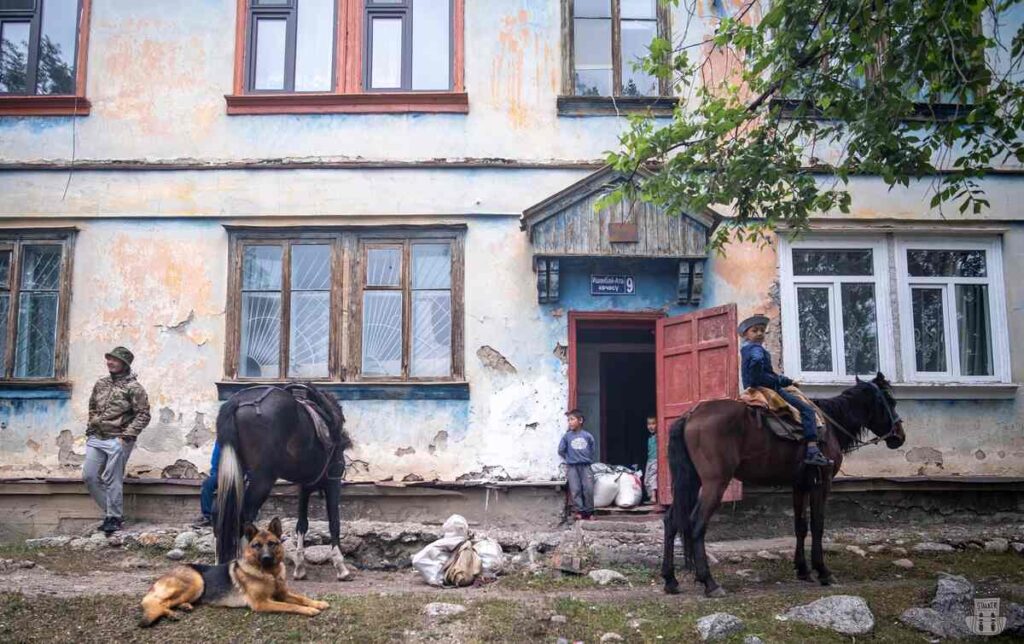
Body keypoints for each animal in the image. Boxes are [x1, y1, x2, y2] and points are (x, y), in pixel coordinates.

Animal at [140, 518, 327, 626]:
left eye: (272, 544)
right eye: (257, 545)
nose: (266, 558)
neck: (270, 574)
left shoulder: (282, 594)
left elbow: (301, 598)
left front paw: (317, 603)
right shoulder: (262, 603)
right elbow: (290, 605)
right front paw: (309, 610)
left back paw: (183, 607)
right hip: (197, 582)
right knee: (157, 602)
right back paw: (171, 613)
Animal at [663, 374, 905, 593]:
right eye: (890, 402)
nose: (900, 437)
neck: (830, 425)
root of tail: (690, 415)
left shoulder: (800, 484)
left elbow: (801, 526)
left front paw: (803, 570)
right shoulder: (821, 483)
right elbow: (818, 525)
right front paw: (823, 572)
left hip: (691, 481)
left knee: (672, 521)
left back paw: (670, 580)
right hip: (715, 483)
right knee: (697, 523)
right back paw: (710, 583)